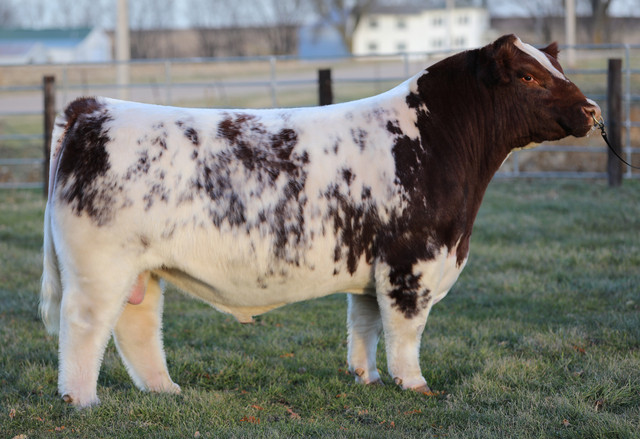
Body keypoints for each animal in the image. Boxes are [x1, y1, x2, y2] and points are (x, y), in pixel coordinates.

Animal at [40, 34, 601, 408]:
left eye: (556, 67)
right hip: (100, 264)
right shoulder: (411, 262)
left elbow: (365, 323)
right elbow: (406, 329)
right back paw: (81, 400)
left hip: (142, 266)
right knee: (84, 324)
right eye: (527, 76)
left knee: (136, 326)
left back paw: (166, 389)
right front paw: (414, 384)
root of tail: (95, 107)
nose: (592, 109)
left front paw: (367, 378)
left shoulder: (375, 266)